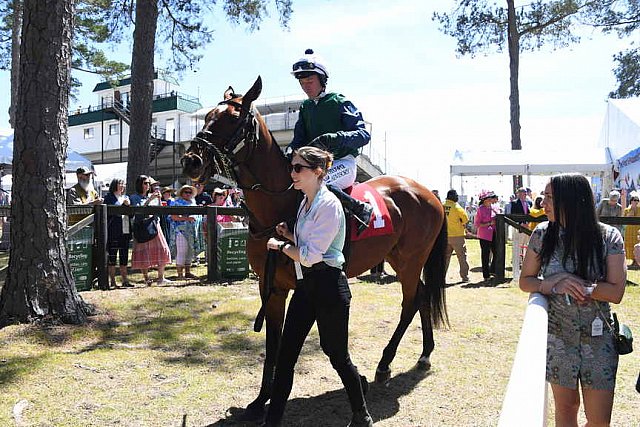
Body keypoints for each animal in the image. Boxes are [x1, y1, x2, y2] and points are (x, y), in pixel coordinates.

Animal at [182, 77, 448, 422]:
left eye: (232, 119)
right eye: (207, 117)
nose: (191, 160)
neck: (281, 205)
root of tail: (427, 193)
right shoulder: (272, 287)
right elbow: (273, 345)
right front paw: (260, 401)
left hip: (410, 260)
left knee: (411, 301)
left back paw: (385, 363)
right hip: (399, 258)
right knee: (424, 295)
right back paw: (424, 353)